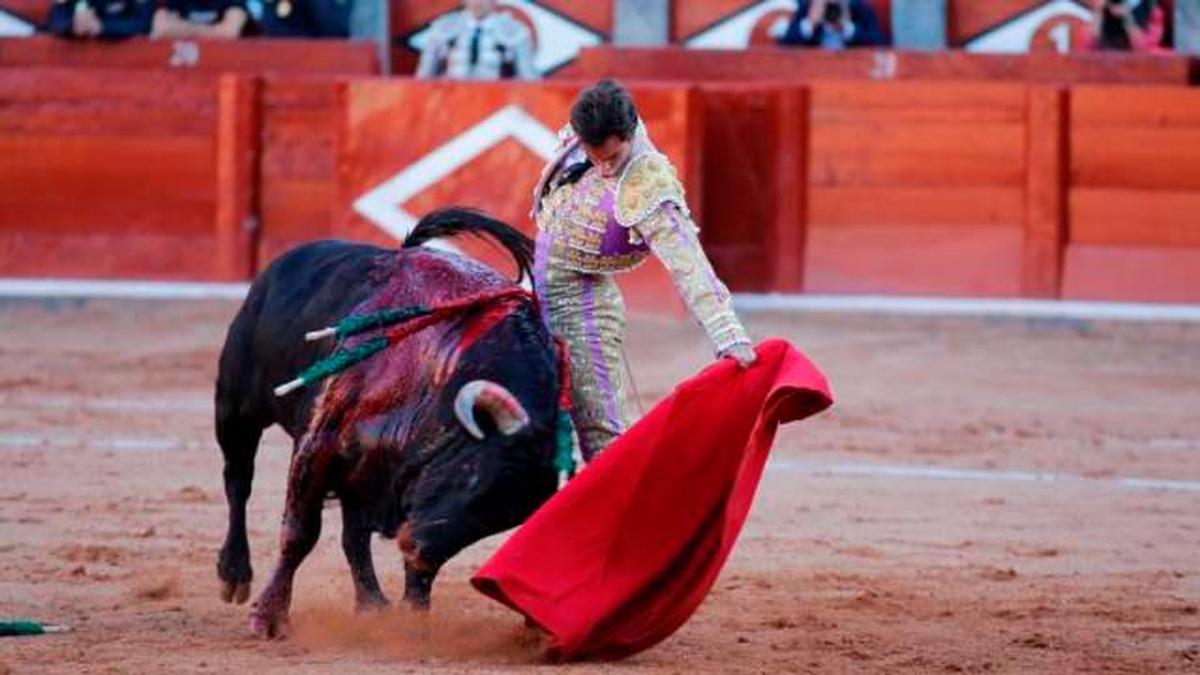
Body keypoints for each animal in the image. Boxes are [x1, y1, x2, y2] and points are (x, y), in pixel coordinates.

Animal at [214, 210, 561, 634]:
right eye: (471, 474)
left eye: (503, 518)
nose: (416, 545)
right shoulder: (319, 440)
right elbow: (300, 532)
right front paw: (269, 617)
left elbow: (404, 562)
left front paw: (413, 619)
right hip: (236, 409)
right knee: (238, 480)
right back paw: (234, 574)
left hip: (357, 471)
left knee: (353, 534)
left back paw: (371, 603)